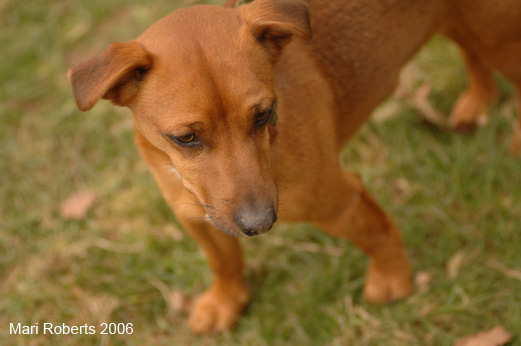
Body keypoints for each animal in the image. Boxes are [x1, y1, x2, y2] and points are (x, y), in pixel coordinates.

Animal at [68, 0, 520, 334]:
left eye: (264, 114)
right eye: (185, 138)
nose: (260, 224)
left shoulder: (340, 201)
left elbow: (380, 234)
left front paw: (394, 279)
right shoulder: (195, 218)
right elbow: (224, 261)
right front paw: (226, 300)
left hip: (501, 38)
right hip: (467, 27)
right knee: (470, 51)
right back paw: (479, 100)